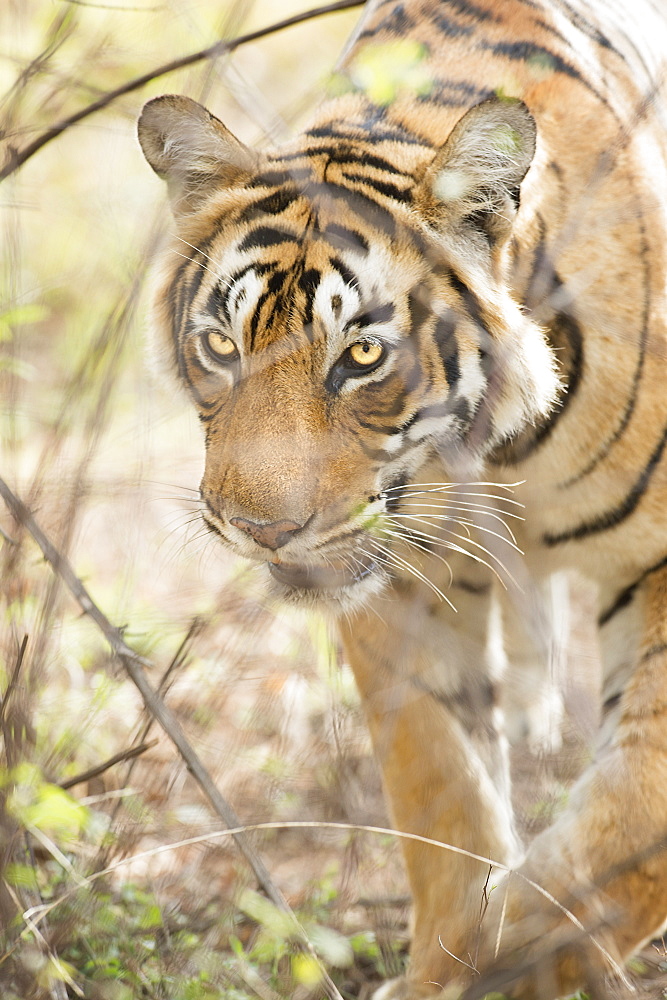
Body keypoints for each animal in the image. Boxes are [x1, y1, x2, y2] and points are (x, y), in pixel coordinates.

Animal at [138, 0, 667, 996]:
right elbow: (441, 791)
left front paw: (527, 953)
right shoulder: (403, 589)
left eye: (361, 356)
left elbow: (633, 808)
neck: (494, 451)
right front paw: (453, 961)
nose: (258, 530)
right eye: (220, 345)